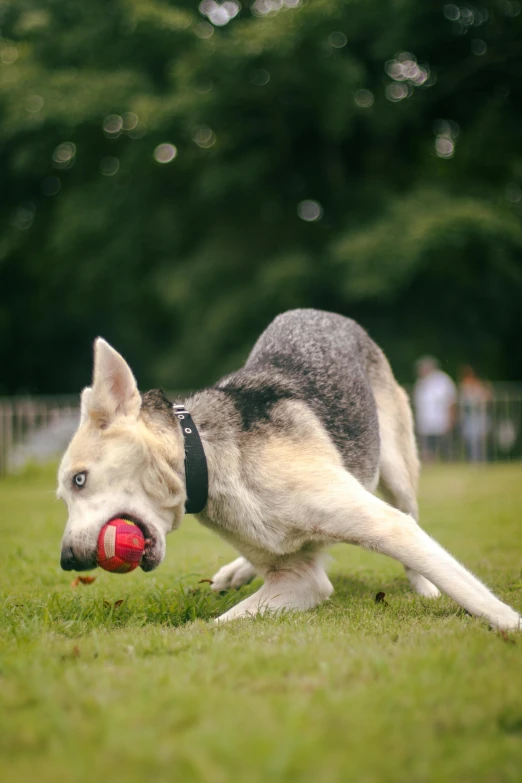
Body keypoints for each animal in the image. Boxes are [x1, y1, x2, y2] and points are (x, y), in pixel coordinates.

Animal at [54, 310, 516, 628]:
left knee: (413, 526)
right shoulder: (298, 581)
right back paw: (237, 571)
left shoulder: (384, 525)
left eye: (79, 480)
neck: (207, 459)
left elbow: (467, 588)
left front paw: (510, 625)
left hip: (397, 477)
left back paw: (423, 587)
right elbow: (212, 627)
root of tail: (323, 314)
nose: (67, 560)